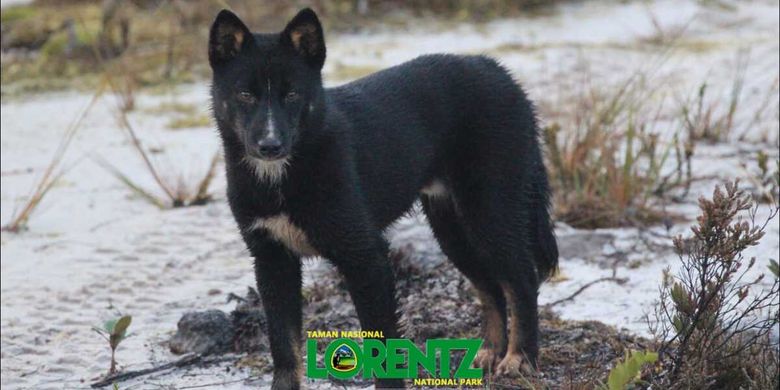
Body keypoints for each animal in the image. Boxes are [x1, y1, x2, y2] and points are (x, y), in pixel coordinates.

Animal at [210, 7, 556, 388]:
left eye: (292, 94)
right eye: (245, 95)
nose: (270, 146)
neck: (284, 174)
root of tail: (500, 72)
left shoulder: (365, 256)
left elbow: (380, 344)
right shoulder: (271, 259)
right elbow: (283, 346)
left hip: (489, 212)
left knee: (521, 280)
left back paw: (520, 358)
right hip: (452, 229)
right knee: (491, 288)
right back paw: (490, 352)